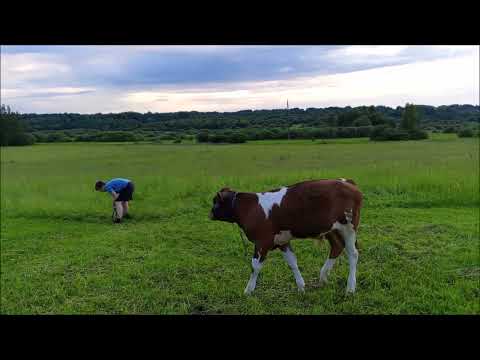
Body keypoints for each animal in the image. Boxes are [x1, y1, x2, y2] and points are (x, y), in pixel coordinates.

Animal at [208, 179, 362, 294]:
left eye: (215, 201)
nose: (210, 214)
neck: (250, 208)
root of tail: (347, 182)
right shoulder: (282, 241)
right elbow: (292, 262)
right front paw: (301, 286)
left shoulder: (262, 242)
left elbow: (255, 266)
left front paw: (248, 290)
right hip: (332, 229)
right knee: (337, 246)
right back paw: (323, 277)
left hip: (349, 227)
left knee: (353, 254)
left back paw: (350, 287)